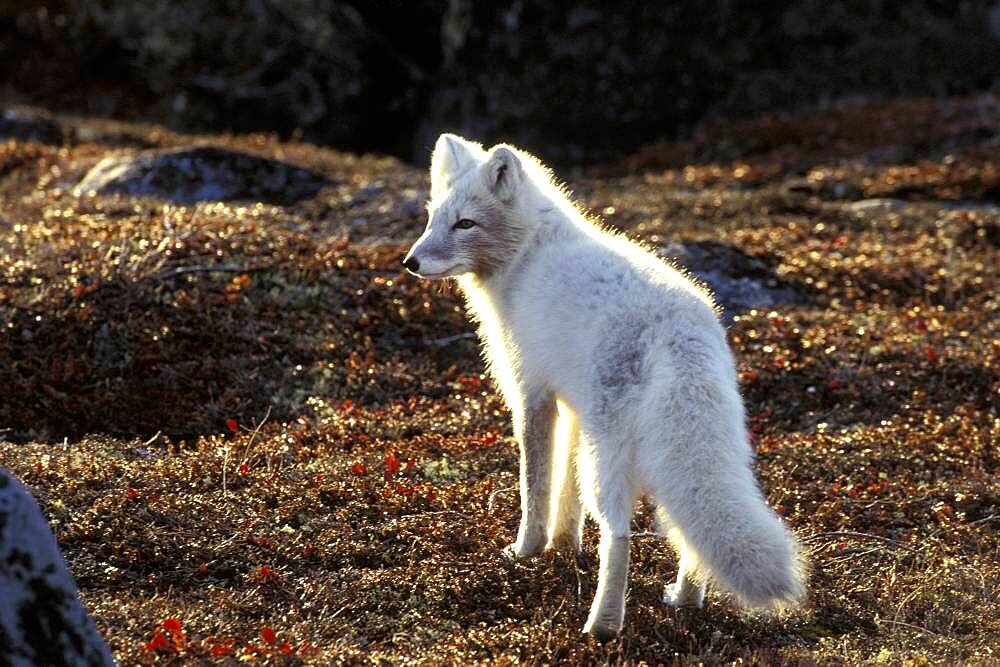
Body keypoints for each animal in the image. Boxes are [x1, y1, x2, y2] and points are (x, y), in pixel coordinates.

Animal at [402, 133, 808, 640]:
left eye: (465, 223)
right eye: (432, 218)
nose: (411, 262)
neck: (527, 256)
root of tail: (678, 333)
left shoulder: (532, 394)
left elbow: (535, 486)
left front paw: (527, 550)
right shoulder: (573, 407)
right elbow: (565, 493)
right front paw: (562, 546)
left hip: (609, 455)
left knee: (618, 535)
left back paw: (603, 625)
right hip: (680, 448)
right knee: (687, 527)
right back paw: (685, 600)